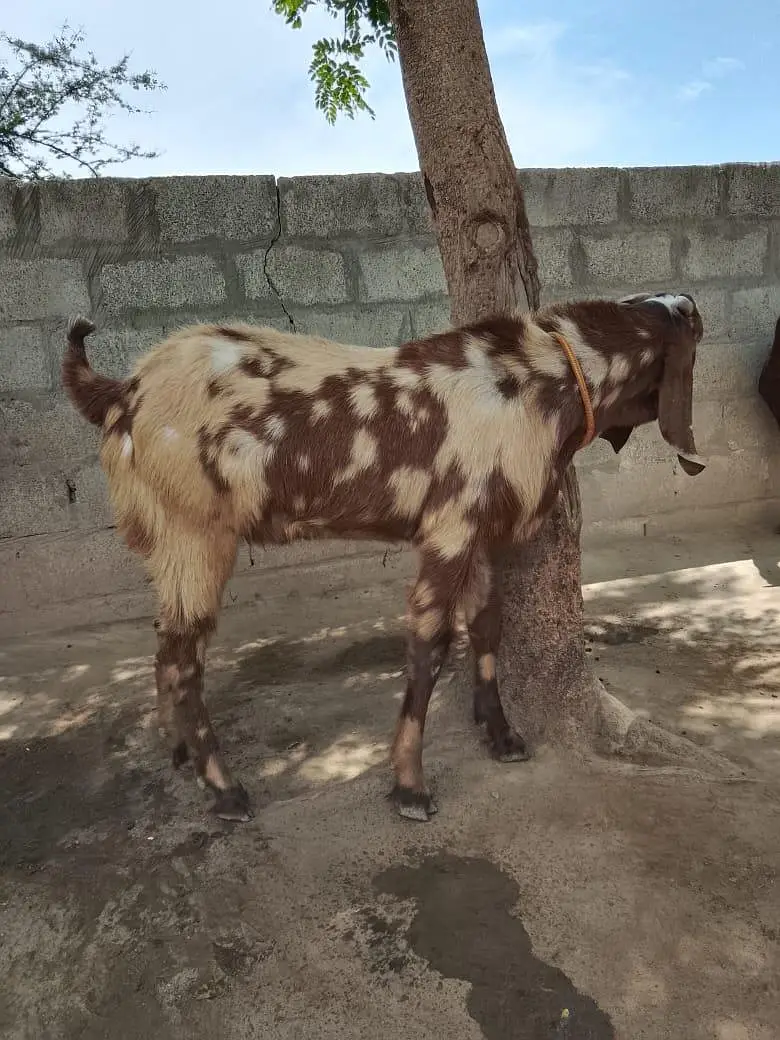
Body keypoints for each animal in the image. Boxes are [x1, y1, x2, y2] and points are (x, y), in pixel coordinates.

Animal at [62, 291, 706, 823]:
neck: (538, 383)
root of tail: (122, 392)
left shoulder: (479, 535)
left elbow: (487, 627)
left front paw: (501, 737)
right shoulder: (449, 530)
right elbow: (429, 648)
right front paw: (410, 787)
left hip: (170, 544)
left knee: (165, 645)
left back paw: (177, 750)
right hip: (195, 534)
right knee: (186, 657)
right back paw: (225, 791)